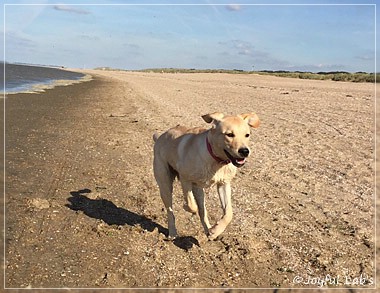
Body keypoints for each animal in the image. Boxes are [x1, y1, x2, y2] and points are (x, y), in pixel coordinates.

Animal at [153, 112, 260, 240]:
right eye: (229, 134)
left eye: (247, 135)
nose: (245, 151)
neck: (216, 160)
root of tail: (160, 137)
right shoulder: (185, 179)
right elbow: (191, 204)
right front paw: (187, 208)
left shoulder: (223, 184)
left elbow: (228, 213)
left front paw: (216, 230)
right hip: (165, 185)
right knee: (170, 210)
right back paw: (173, 232)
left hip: (198, 190)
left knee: (202, 212)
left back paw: (209, 230)